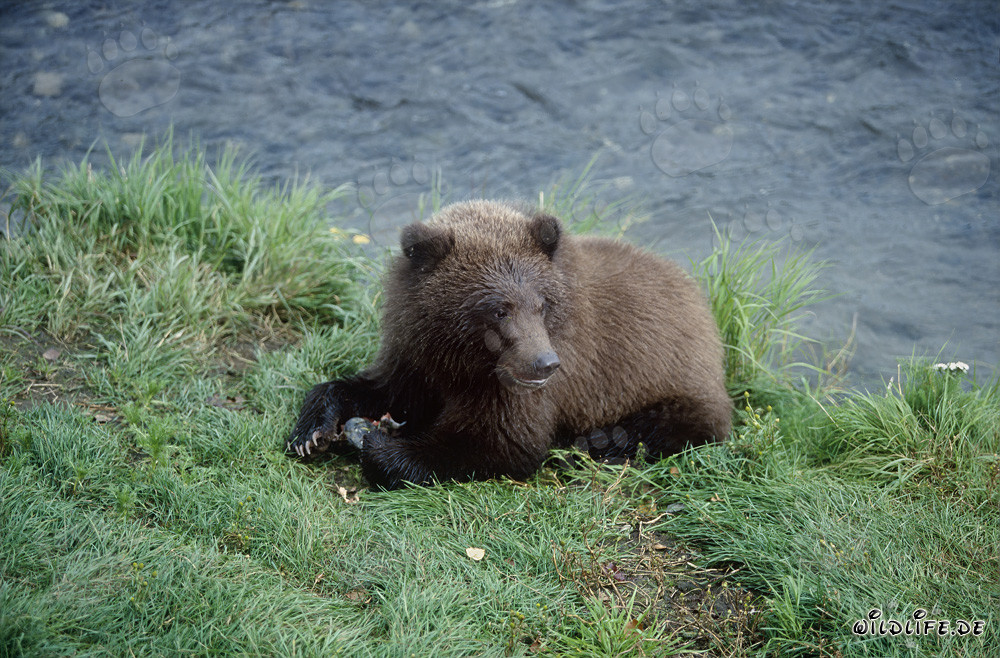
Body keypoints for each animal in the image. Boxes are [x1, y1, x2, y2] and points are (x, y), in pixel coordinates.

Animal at [287, 200, 731, 489]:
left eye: (541, 303)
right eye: (499, 309)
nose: (544, 363)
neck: (463, 358)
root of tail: (700, 302)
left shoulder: (525, 386)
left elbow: (501, 442)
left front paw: (380, 444)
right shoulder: (416, 353)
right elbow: (382, 388)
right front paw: (312, 431)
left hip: (674, 378)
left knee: (677, 424)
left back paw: (599, 441)